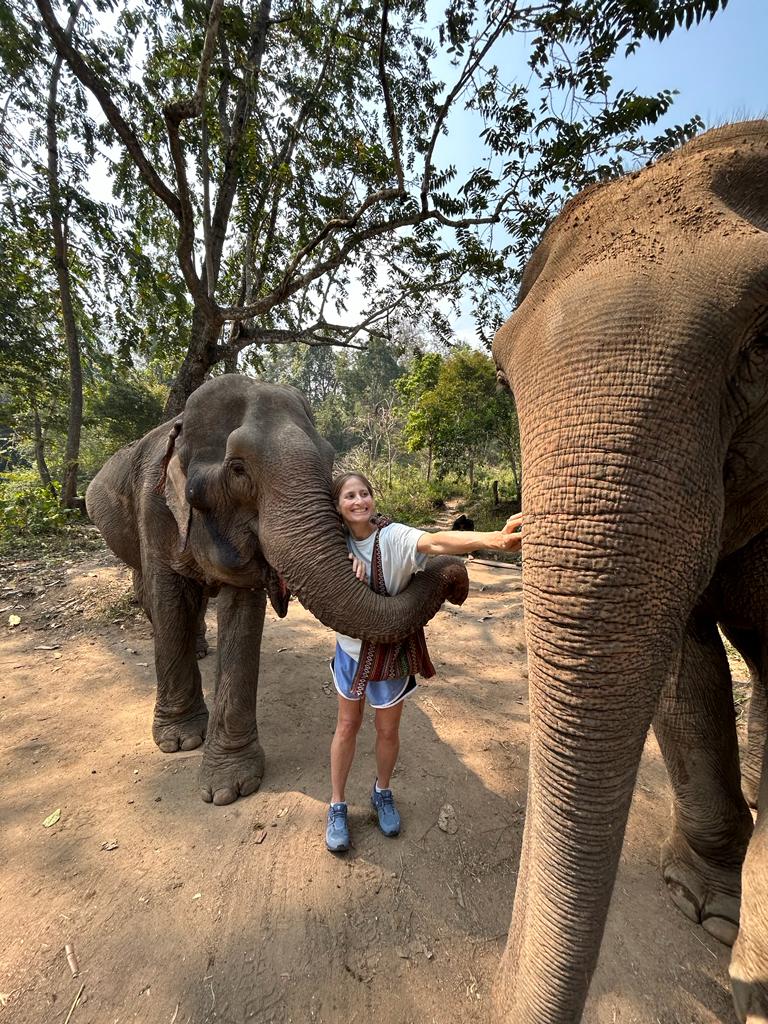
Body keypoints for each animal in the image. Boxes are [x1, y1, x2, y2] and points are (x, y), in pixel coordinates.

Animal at [85, 376, 468, 805]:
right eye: (237, 468)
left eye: (329, 459)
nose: (458, 582)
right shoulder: (153, 508)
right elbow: (168, 600)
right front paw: (179, 742)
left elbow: (241, 610)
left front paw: (229, 786)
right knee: (152, 593)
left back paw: (200, 648)